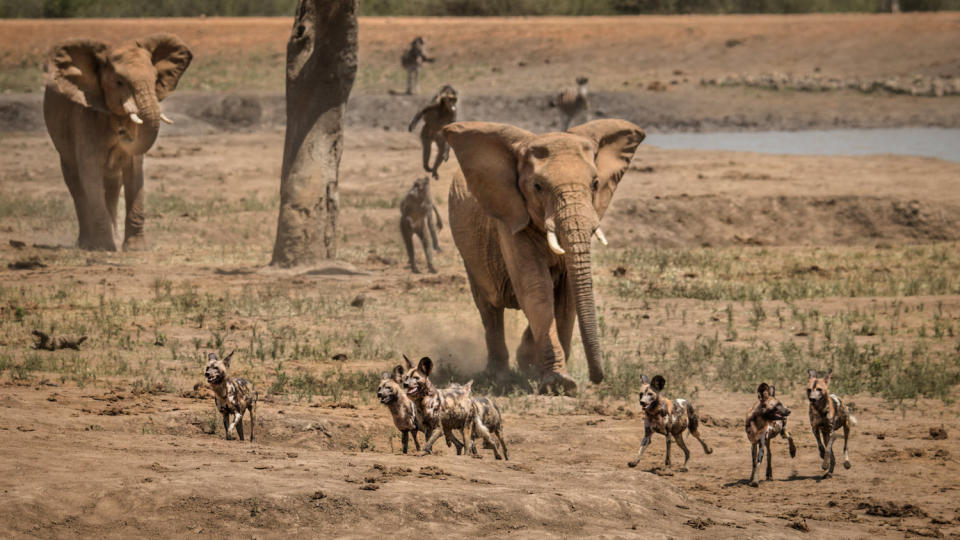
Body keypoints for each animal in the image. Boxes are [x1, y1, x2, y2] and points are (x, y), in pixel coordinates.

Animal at [42, 34, 193, 250]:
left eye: (156, 79)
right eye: (119, 82)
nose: (122, 132)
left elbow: (134, 170)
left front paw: (136, 248)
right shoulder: (84, 116)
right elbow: (90, 173)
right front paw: (103, 247)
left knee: (113, 186)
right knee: (75, 183)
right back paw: (85, 243)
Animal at [442, 120, 644, 394]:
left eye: (595, 183)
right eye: (538, 187)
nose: (597, 378)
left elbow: (567, 294)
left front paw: (540, 370)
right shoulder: (510, 218)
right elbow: (535, 287)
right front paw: (559, 383)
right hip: (470, 252)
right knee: (489, 307)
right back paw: (498, 376)